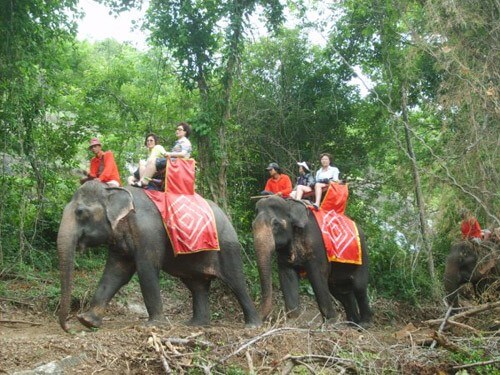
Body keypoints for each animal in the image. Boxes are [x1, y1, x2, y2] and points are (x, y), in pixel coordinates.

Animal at [57, 181, 262, 332]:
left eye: (80, 212)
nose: (68, 328)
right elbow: (115, 273)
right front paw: (87, 321)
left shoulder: (148, 231)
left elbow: (147, 269)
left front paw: (153, 325)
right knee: (197, 286)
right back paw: (195, 325)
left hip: (228, 246)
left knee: (236, 281)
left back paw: (252, 326)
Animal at [254, 195, 372, 328]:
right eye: (252, 225)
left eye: (275, 224)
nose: (261, 321)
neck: (289, 204)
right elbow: (287, 276)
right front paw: (292, 322)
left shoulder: (317, 246)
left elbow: (317, 278)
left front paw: (330, 323)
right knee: (341, 291)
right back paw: (352, 324)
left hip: (363, 256)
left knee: (359, 287)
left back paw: (364, 324)